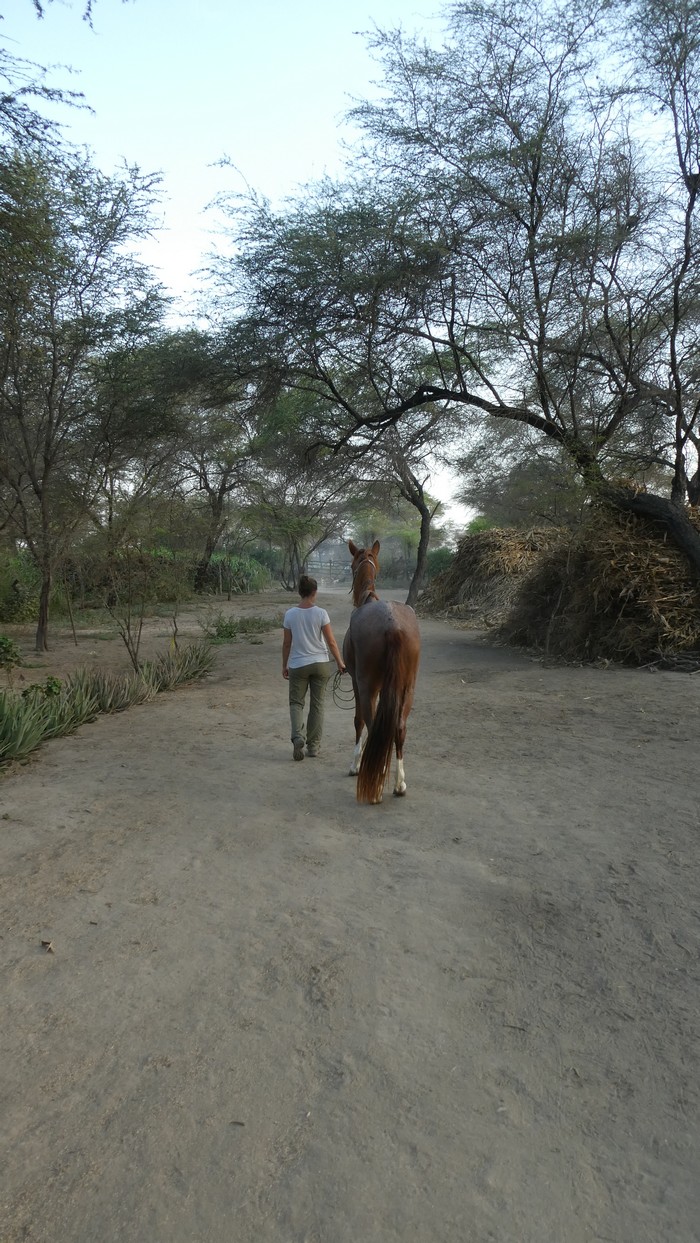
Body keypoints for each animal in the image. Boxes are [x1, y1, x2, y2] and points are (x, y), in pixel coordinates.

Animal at [342, 540, 421, 804]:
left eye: (352, 564)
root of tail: (392, 625)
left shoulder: (357, 682)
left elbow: (358, 721)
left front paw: (356, 765)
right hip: (408, 688)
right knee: (398, 728)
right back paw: (399, 783)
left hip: (367, 685)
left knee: (371, 721)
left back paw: (374, 781)